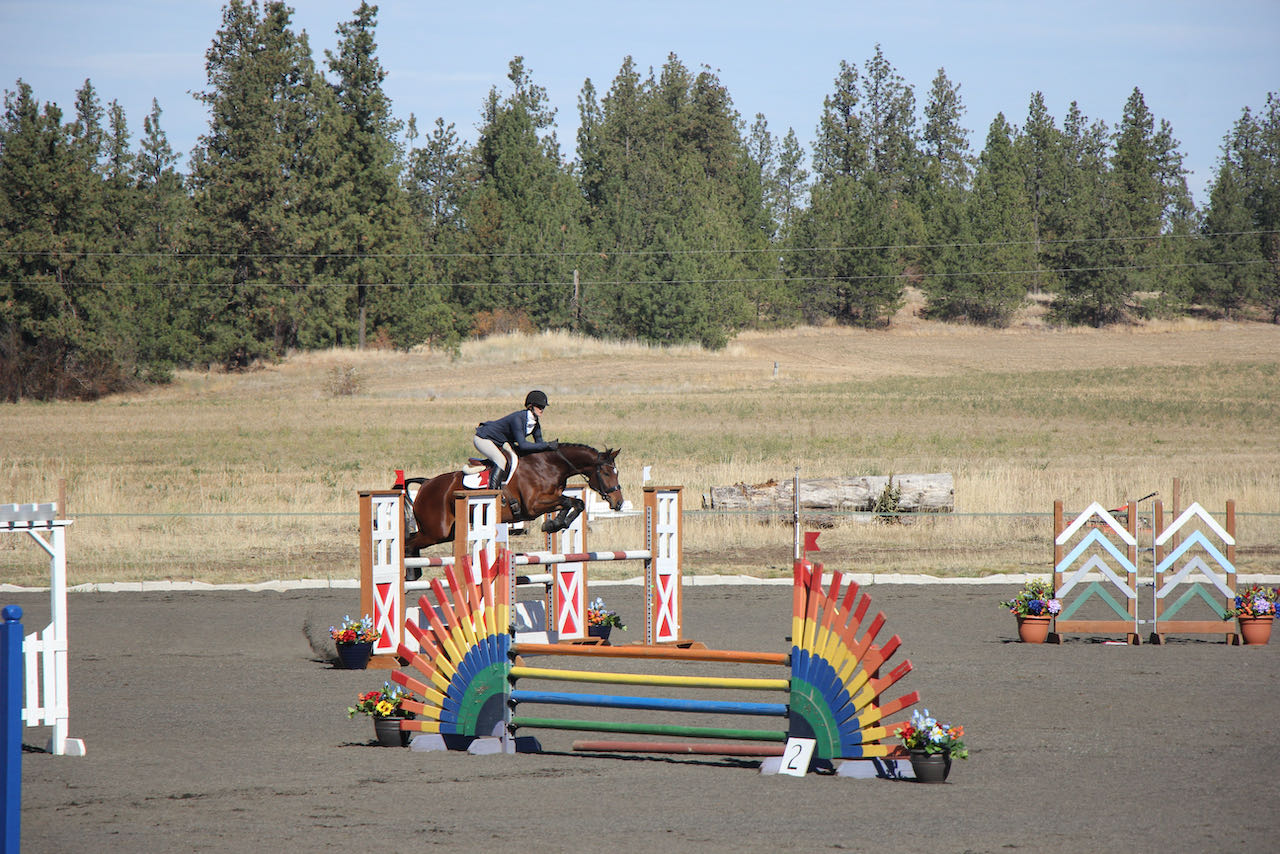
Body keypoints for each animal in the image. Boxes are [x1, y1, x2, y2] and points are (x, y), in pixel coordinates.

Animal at [399, 445, 619, 558]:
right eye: (607, 473)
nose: (618, 502)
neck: (549, 466)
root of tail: (426, 483)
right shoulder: (533, 506)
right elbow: (569, 502)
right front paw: (554, 523)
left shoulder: (550, 500)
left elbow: (574, 503)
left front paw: (554, 524)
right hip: (436, 531)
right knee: (408, 545)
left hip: (445, 532)